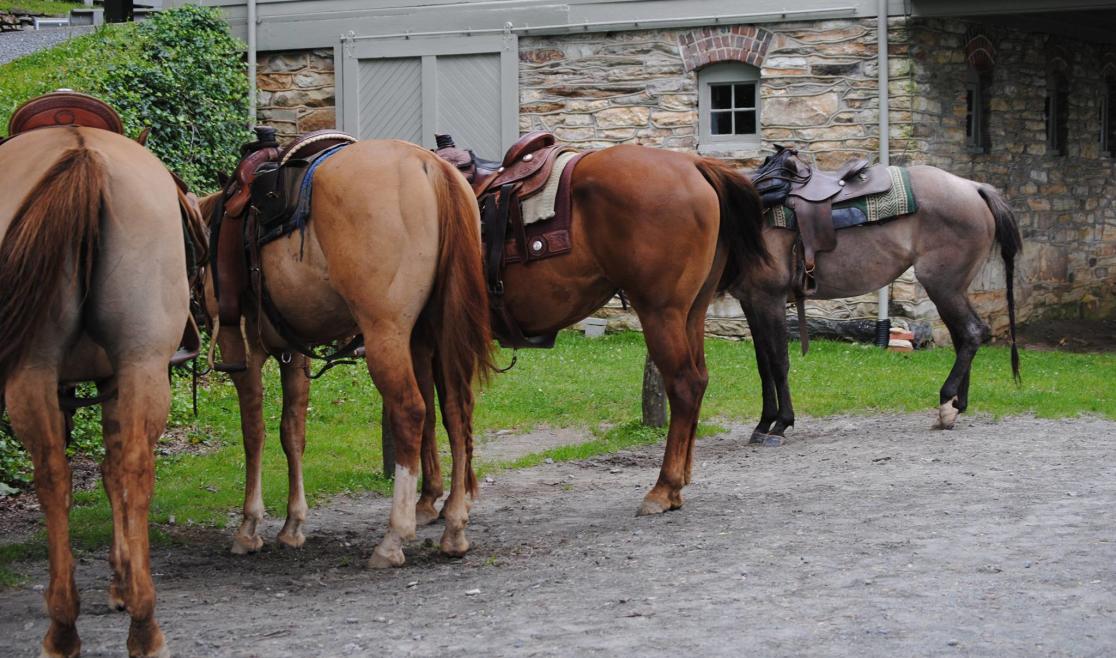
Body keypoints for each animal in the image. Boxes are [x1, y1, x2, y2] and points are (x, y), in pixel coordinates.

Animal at [0, 126, 192, 658]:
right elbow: (112, 469)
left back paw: (73, 624)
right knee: (128, 469)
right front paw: (120, 581)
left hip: (44, 367)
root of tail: (81, 149)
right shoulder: (113, 378)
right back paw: (138, 625)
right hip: (139, 362)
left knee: (65, 474)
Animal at [198, 138, 494, 569]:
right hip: (441, 334)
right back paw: (454, 527)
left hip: (386, 336)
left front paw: (249, 526)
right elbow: (292, 431)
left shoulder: (242, 351)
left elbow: (254, 433)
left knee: (411, 412)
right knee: (456, 412)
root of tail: (432, 167)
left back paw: (394, 537)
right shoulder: (295, 355)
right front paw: (292, 525)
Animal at [732, 147, 1022, 442]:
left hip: (943, 286)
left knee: (972, 332)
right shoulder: (750, 302)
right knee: (962, 336)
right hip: (952, 290)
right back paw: (955, 409)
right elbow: (763, 363)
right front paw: (763, 423)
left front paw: (781, 423)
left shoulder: (770, 299)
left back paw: (946, 402)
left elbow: (778, 362)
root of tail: (974, 187)